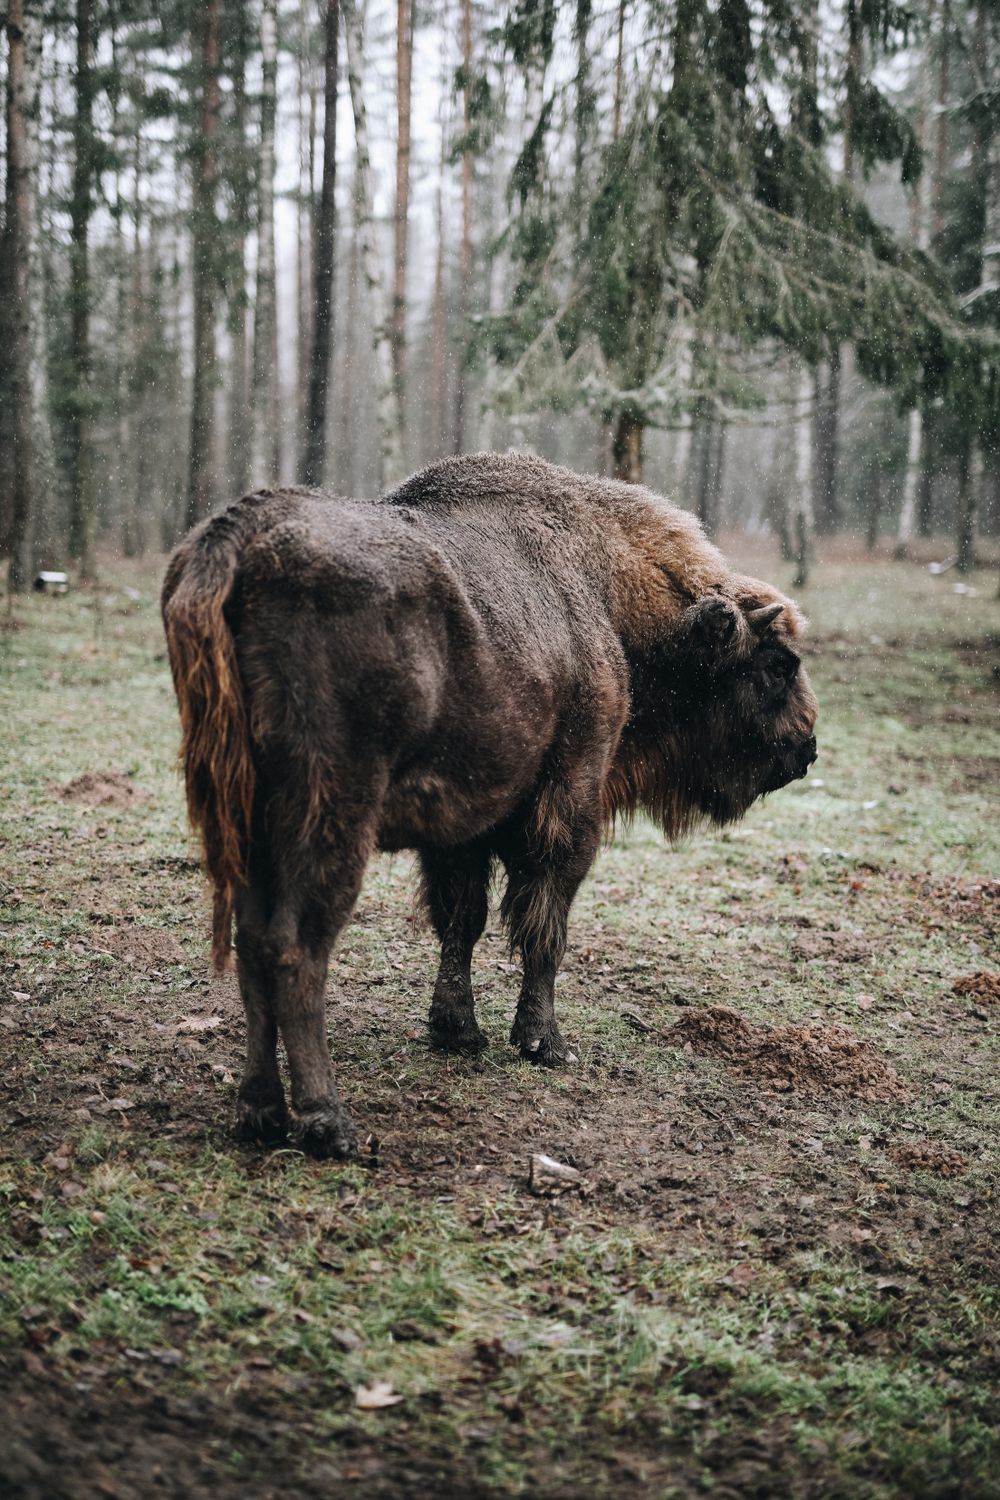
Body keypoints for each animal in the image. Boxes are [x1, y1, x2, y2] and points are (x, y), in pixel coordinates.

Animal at [162, 453, 817, 1156]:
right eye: (777, 666)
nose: (807, 749)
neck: (606, 596)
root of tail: (237, 541)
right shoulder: (569, 807)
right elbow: (543, 924)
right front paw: (544, 1044)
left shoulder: (462, 827)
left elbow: (462, 919)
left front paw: (458, 1031)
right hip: (329, 818)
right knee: (294, 949)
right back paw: (327, 1122)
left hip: (247, 822)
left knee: (253, 944)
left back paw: (259, 1113)